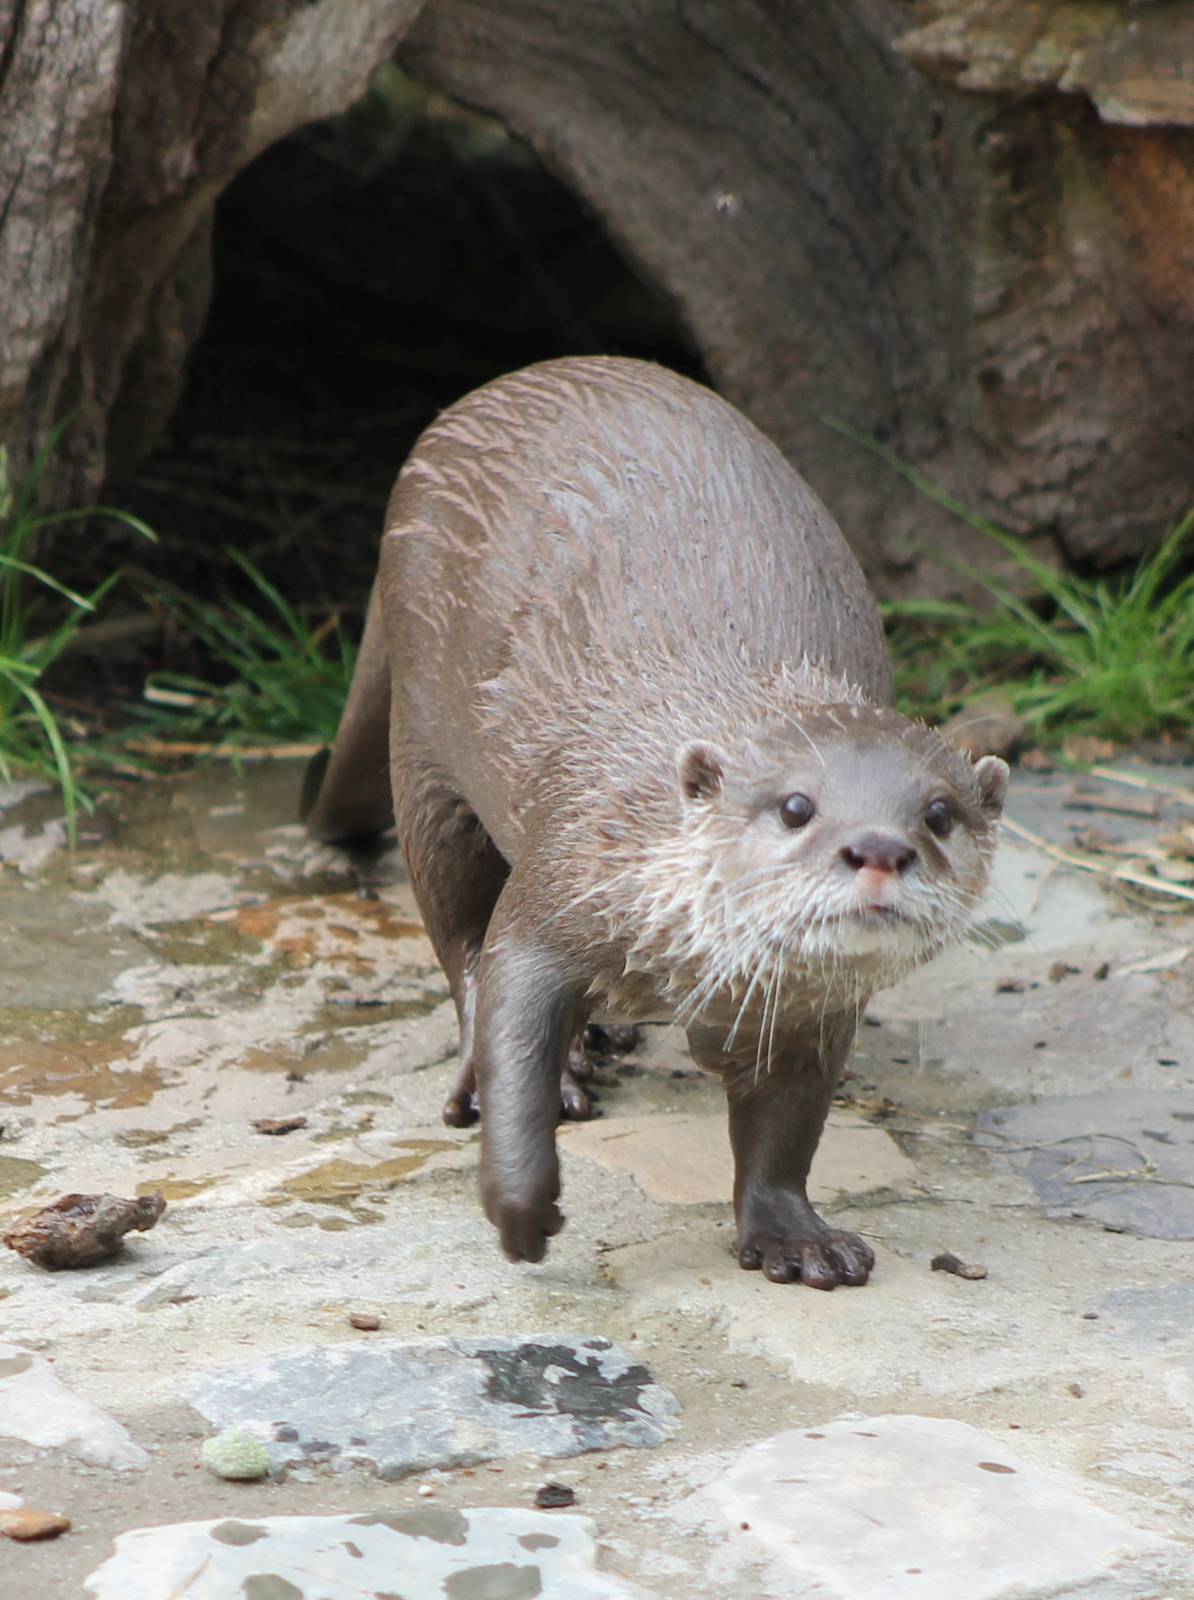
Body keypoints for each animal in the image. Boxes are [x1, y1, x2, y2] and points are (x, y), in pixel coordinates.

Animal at [304, 357, 1006, 1289]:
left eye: (937, 815)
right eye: (796, 807)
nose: (880, 849)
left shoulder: (812, 1010)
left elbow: (787, 1125)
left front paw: (795, 1235)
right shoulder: (569, 868)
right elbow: (511, 988)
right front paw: (520, 1202)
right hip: (424, 742)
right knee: (455, 928)